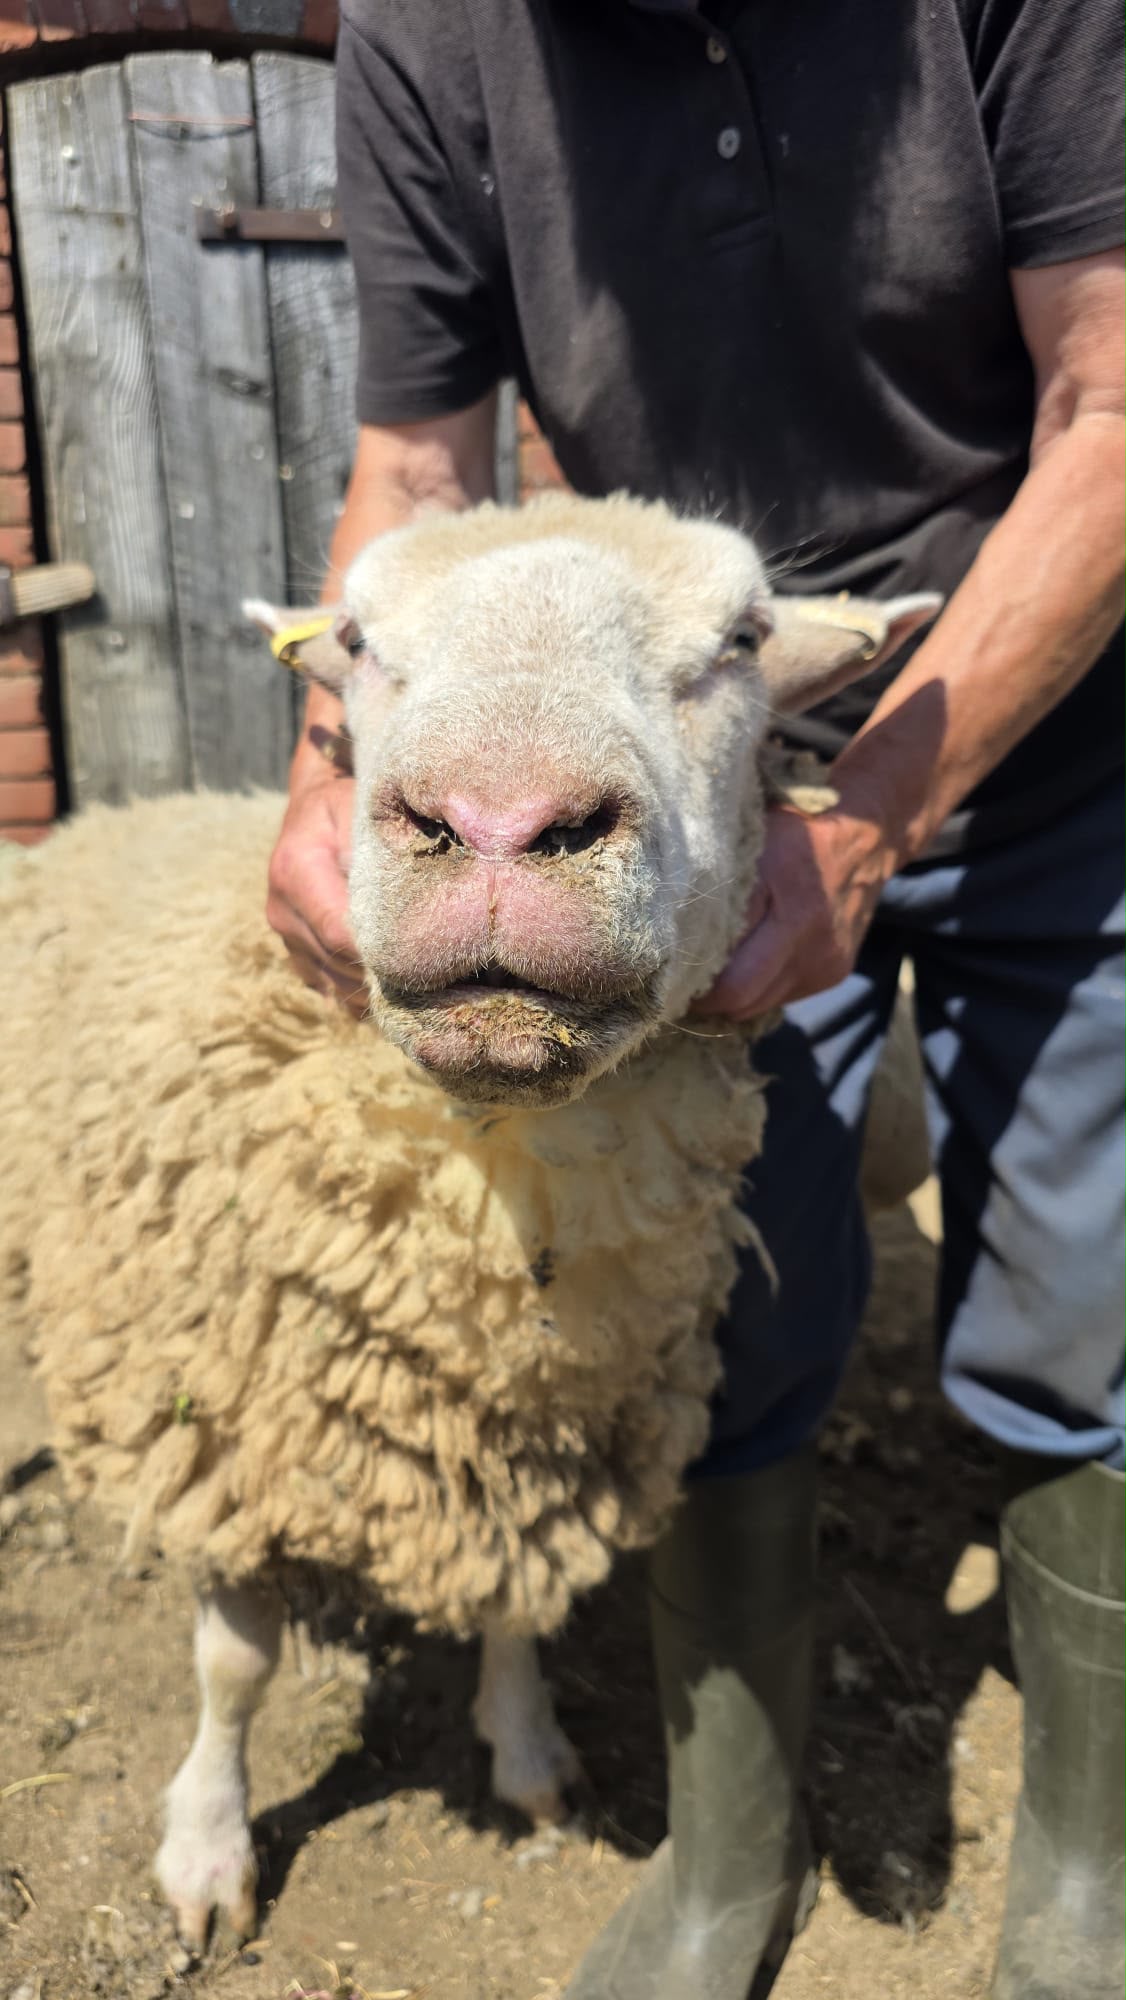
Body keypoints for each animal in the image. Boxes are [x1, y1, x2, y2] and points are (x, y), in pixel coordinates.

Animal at [0, 494, 936, 1951]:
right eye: (356, 640)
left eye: (741, 641)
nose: (498, 822)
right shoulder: (212, 1416)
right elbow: (234, 1663)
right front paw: (207, 1849)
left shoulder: (529, 1437)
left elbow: (514, 1603)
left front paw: (531, 1752)